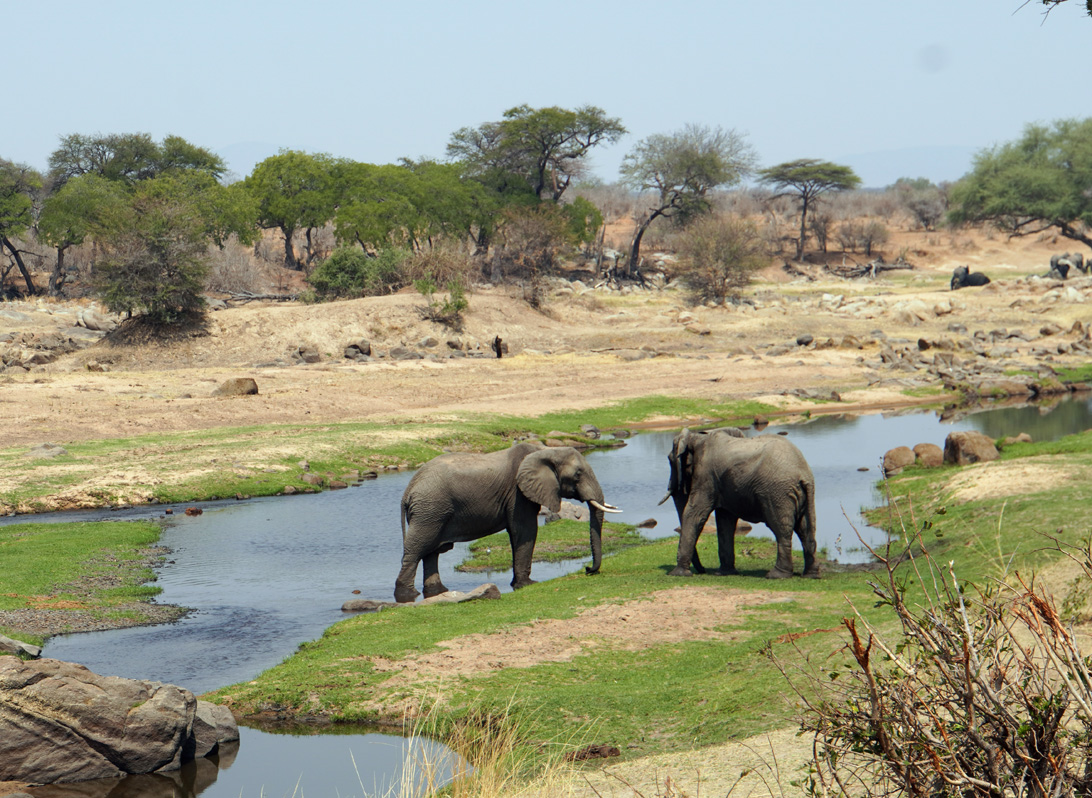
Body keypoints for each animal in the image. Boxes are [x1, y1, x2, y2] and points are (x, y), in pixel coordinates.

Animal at [395, 441, 620, 602]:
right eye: (578, 475)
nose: (587, 570)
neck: (546, 451)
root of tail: (408, 490)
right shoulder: (518, 493)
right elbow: (525, 530)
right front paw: (528, 584)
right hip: (430, 510)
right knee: (416, 550)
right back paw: (408, 595)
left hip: (432, 512)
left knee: (431, 551)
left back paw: (438, 591)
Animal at [661, 428, 818, 579]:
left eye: (669, 460)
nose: (703, 570)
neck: (698, 436)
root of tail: (804, 474)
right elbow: (725, 520)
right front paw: (725, 573)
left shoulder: (706, 476)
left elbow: (694, 514)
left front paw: (677, 574)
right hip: (798, 495)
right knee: (804, 529)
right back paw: (810, 575)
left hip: (777, 492)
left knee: (781, 529)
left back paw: (776, 576)